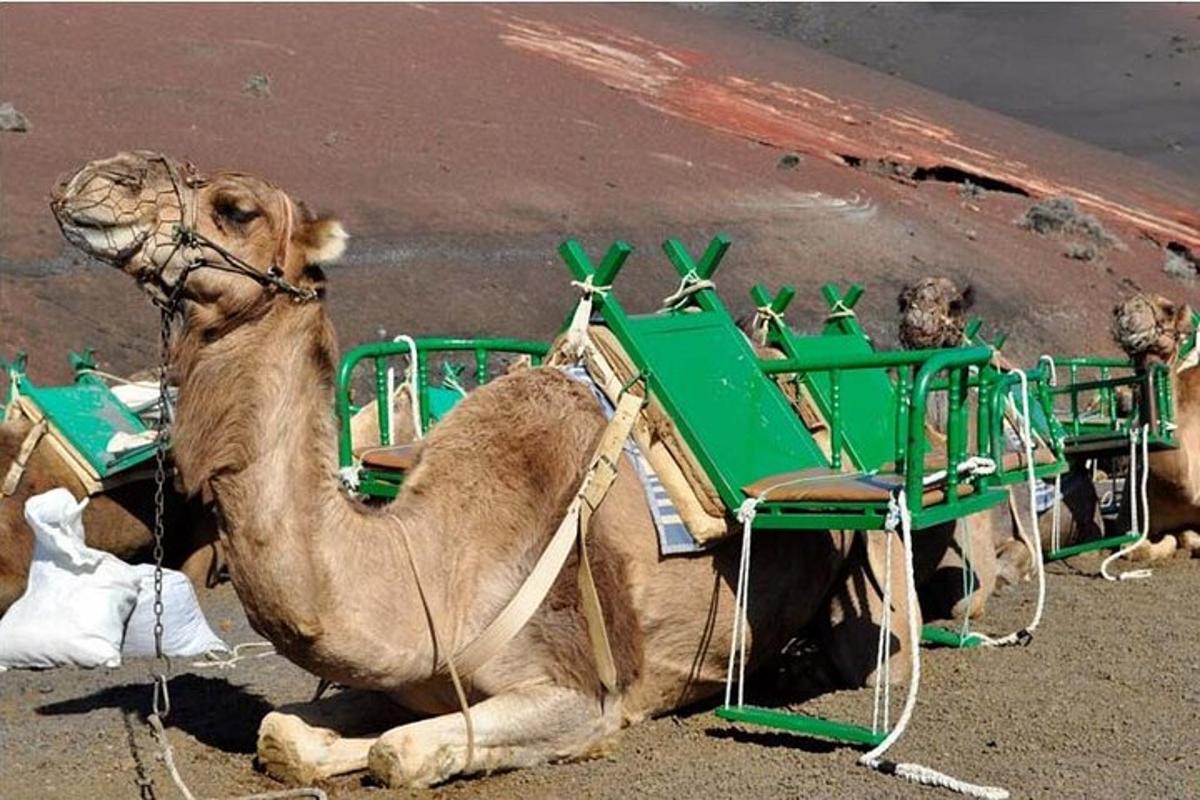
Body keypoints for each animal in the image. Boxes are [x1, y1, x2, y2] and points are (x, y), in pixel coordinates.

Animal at [49, 149, 936, 786]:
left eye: (236, 208)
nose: (98, 179)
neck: (436, 561)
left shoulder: (583, 692)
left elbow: (404, 753)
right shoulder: (416, 672)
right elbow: (289, 736)